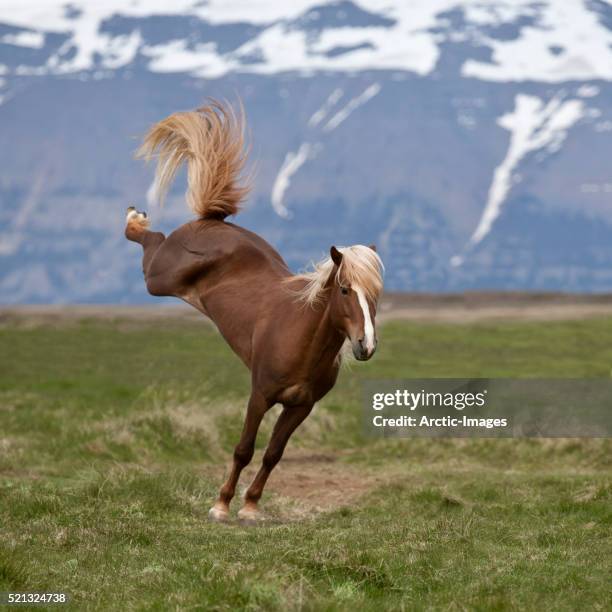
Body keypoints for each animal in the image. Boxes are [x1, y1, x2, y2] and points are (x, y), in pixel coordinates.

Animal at [124, 100, 382, 520]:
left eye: (376, 295)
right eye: (345, 289)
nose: (366, 346)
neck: (301, 339)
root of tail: (213, 222)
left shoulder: (300, 406)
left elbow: (273, 454)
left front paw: (250, 506)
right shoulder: (259, 395)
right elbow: (244, 449)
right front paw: (221, 505)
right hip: (160, 277)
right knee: (152, 241)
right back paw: (134, 217)